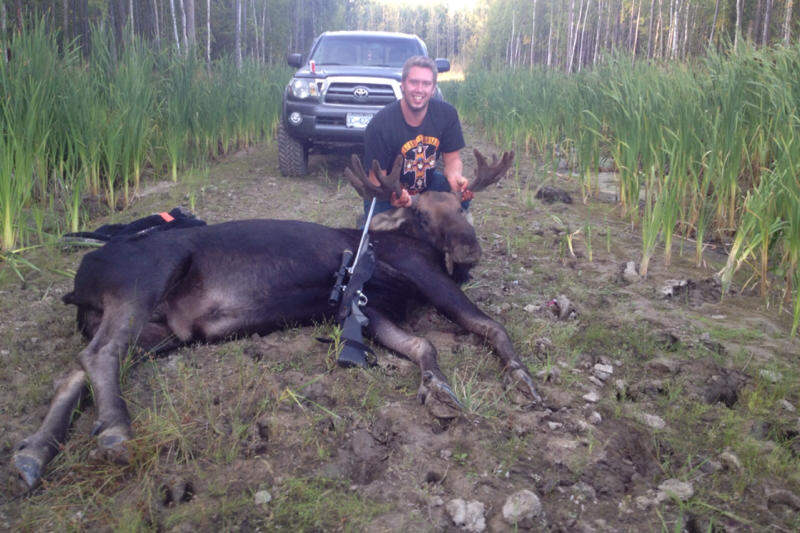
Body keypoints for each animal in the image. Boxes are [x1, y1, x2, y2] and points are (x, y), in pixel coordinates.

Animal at [9, 148, 536, 492]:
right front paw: (520, 377)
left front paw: (436, 386)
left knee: (73, 373)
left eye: (463, 207)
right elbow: (489, 326)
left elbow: (422, 346)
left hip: (157, 333)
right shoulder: (419, 278)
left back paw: (33, 454)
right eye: (423, 215)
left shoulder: (368, 310)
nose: (469, 248)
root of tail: (76, 283)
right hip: (145, 280)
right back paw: (115, 432)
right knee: (100, 353)